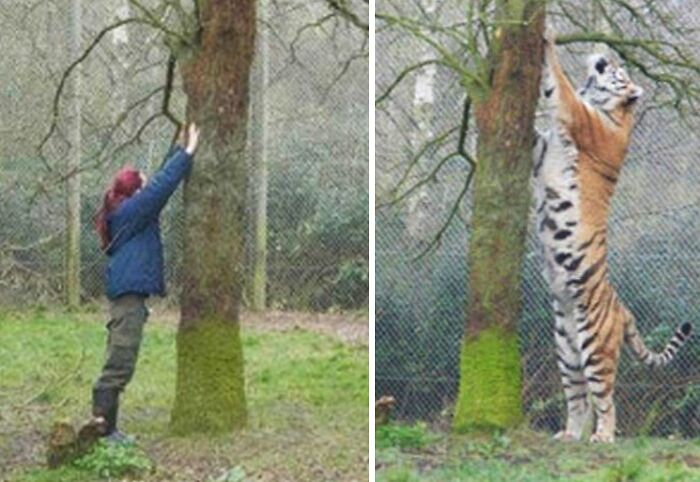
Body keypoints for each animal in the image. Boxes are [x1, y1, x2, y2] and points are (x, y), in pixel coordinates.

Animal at [532, 29, 692, 443]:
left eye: (618, 70)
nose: (604, 58)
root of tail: (623, 310)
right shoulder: (543, 149)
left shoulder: (576, 116)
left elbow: (558, 83)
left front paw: (547, 37)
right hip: (565, 347)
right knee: (578, 399)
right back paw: (569, 435)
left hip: (595, 346)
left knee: (605, 399)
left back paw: (602, 437)